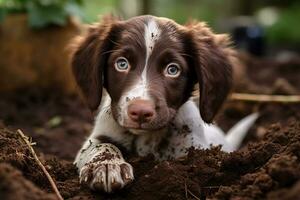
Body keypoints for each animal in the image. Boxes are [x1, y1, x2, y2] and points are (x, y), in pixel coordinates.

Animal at [71, 14, 258, 193]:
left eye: (173, 69)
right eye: (122, 63)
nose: (140, 112)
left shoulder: (194, 147)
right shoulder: (96, 137)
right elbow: (101, 145)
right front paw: (106, 166)